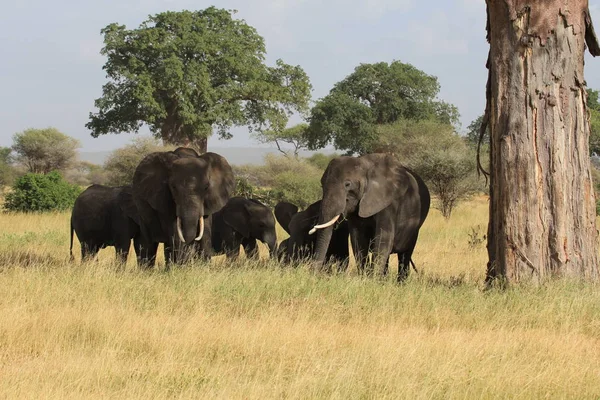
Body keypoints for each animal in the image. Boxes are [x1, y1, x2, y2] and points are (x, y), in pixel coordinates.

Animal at [310, 153, 432, 282]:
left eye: (347, 184)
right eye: (322, 185)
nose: (314, 275)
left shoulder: (388, 202)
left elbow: (383, 238)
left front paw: (373, 281)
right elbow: (358, 240)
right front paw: (365, 278)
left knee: (405, 254)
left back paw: (400, 283)